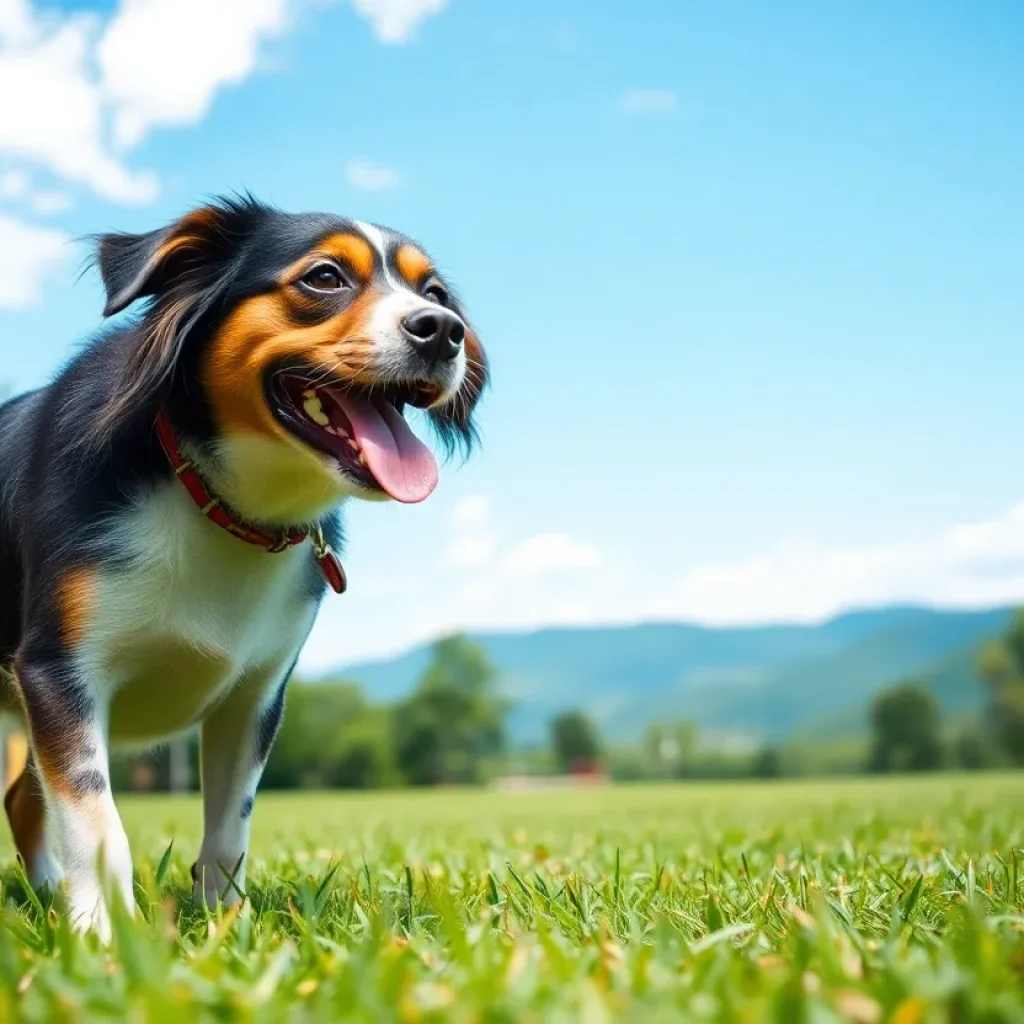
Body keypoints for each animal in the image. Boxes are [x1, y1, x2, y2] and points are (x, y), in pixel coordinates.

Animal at [0, 195, 485, 937]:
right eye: (324, 277)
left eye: (433, 293)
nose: (444, 331)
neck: (215, 500)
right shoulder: (56, 672)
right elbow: (95, 817)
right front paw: (105, 937)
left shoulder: (254, 697)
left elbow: (231, 827)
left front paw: (225, 924)